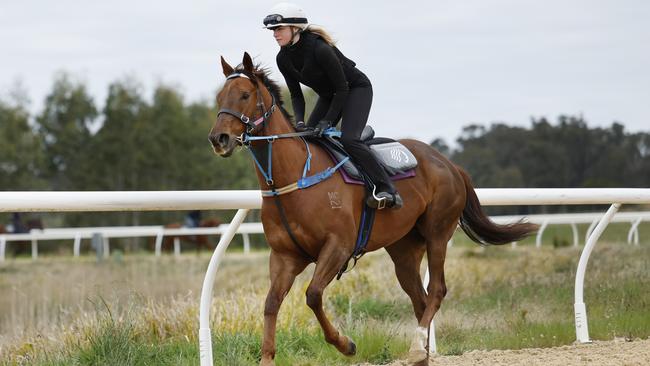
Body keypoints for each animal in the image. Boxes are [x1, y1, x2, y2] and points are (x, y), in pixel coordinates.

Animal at [209, 52, 536, 366]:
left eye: (244, 95)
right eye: (219, 97)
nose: (218, 138)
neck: (295, 178)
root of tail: (450, 164)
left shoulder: (338, 246)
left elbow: (313, 295)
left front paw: (346, 344)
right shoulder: (284, 256)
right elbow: (271, 303)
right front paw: (268, 356)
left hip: (438, 233)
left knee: (437, 291)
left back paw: (417, 345)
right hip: (404, 248)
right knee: (420, 299)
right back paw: (420, 354)